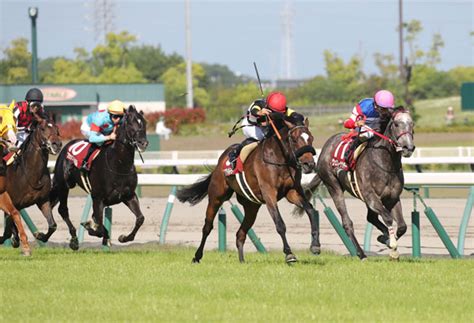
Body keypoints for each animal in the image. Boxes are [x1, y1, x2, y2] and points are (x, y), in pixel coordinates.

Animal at [0, 118, 62, 248]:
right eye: (43, 129)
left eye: (57, 129)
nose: (57, 144)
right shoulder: (13, 202)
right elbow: (9, 228)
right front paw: (14, 239)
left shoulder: (43, 201)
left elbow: (53, 225)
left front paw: (40, 235)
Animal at [50, 106, 148, 251]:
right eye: (131, 124)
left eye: (144, 123)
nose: (143, 143)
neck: (119, 164)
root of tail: (67, 146)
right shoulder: (97, 197)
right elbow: (100, 227)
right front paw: (90, 227)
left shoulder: (129, 195)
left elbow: (140, 218)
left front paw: (124, 237)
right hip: (63, 185)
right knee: (62, 210)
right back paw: (74, 241)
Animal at [177, 117, 318, 264]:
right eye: (294, 139)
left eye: (311, 138)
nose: (309, 164)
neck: (280, 159)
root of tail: (220, 161)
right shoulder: (269, 193)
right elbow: (280, 223)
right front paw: (289, 254)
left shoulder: (292, 192)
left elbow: (311, 210)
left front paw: (315, 246)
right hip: (216, 196)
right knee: (207, 227)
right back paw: (197, 256)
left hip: (252, 207)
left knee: (240, 233)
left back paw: (241, 260)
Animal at [298, 107, 412, 260]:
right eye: (396, 124)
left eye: (412, 124)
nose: (408, 147)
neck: (385, 164)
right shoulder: (370, 196)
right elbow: (388, 218)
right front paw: (392, 246)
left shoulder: (392, 197)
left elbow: (402, 226)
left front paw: (386, 239)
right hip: (333, 186)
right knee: (347, 222)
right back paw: (361, 253)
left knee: (371, 218)